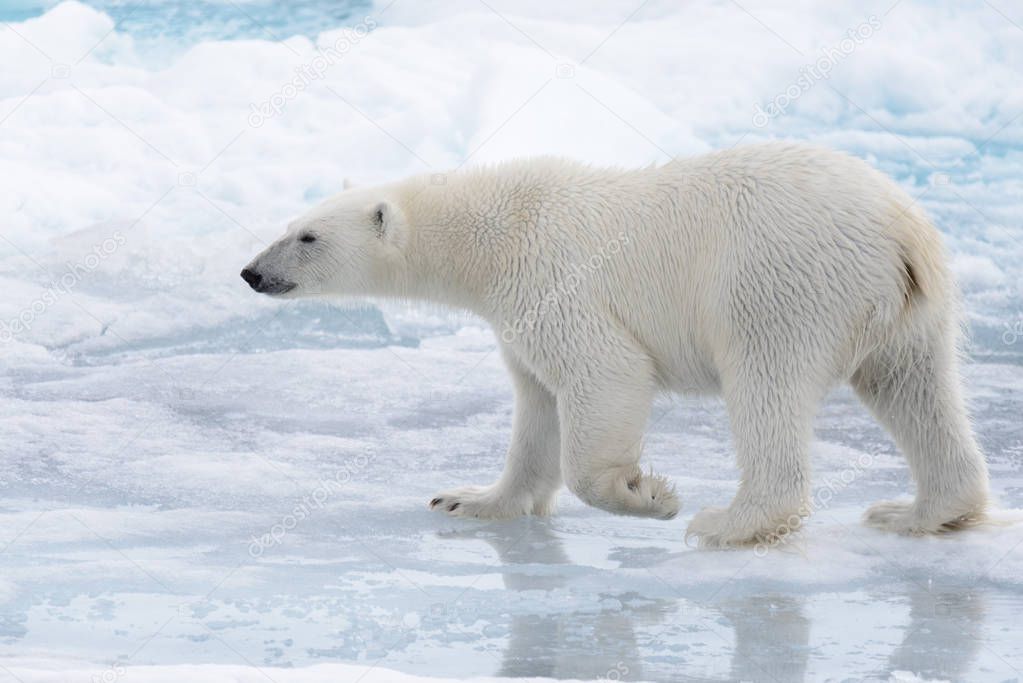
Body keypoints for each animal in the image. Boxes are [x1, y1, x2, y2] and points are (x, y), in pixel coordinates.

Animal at [241, 145, 990, 548]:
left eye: (306, 236)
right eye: (288, 224)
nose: (251, 272)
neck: (492, 232)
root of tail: (900, 226)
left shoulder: (556, 280)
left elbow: (603, 375)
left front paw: (647, 494)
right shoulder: (519, 312)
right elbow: (535, 405)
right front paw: (470, 499)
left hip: (777, 280)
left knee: (764, 380)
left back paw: (729, 521)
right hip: (911, 307)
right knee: (914, 387)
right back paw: (918, 510)